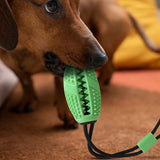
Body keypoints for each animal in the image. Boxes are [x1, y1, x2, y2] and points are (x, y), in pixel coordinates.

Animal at [0, 0, 159, 127]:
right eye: (51, 5)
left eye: (78, 5)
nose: (101, 58)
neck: (22, 49)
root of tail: (125, 10)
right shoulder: (12, 67)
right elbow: (26, 82)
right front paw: (28, 101)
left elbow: (59, 82)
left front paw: (68, 113)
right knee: (110, 67)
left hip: (105, 34)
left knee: (108, 68)